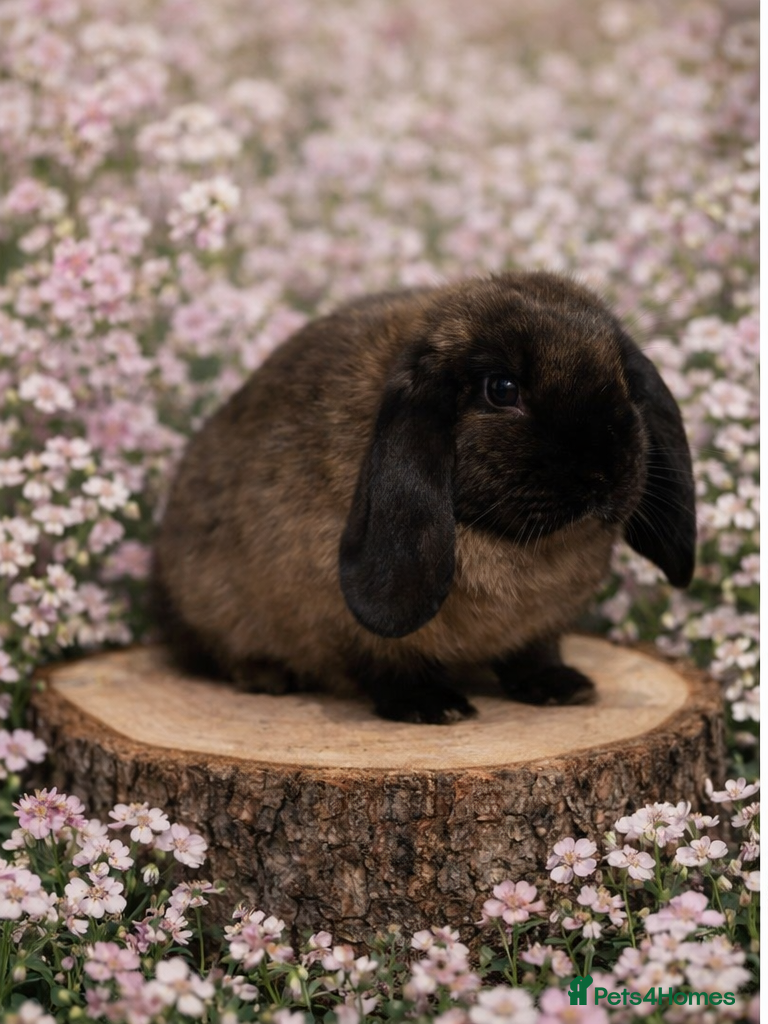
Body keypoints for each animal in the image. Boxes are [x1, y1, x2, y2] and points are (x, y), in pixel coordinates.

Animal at [152, 271, 696, 724]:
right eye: (502, 389)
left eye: (624, 383)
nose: (603, 473)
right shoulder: (350, 627)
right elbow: (389, 667)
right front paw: (434, 706)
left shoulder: (539, 629)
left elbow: (533, 654)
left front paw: (562, 686)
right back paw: (267, 676)